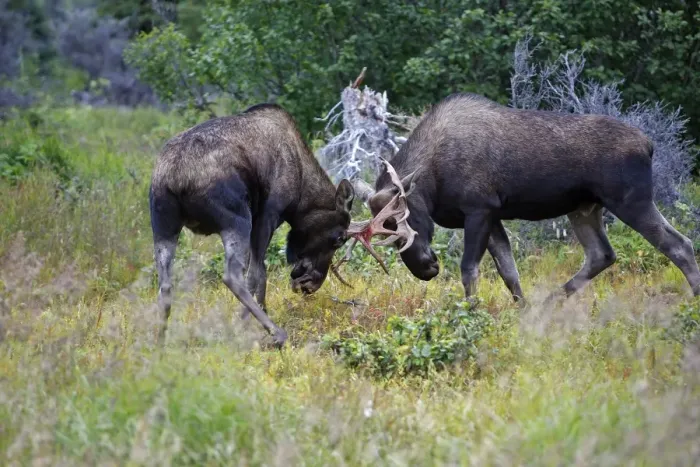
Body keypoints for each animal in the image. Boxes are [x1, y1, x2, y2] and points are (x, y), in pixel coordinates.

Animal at [149, 103, 415, 347]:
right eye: (339, 238)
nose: (310, 284)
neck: (300, 193)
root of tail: (175, 178)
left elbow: (260, 272)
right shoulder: (267, 215)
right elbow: (258, 273)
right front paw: (249, 324)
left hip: (163, 223)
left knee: (165, 284)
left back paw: (160, 343)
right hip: (236, 218)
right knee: (232, 276)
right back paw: (275, 333)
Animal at [333, 92, 700, 304]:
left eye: (404, 221)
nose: (426, 268)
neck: (432, 182)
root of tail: (649, 145)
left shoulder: (479, 208)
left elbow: (470, 269)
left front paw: (469, 312)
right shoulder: (492, 215)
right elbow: (509, 272)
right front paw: (520, 312)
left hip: (630, 200)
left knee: (679, 244)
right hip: (584, 208)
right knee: (602, 254)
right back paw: (550, 301)